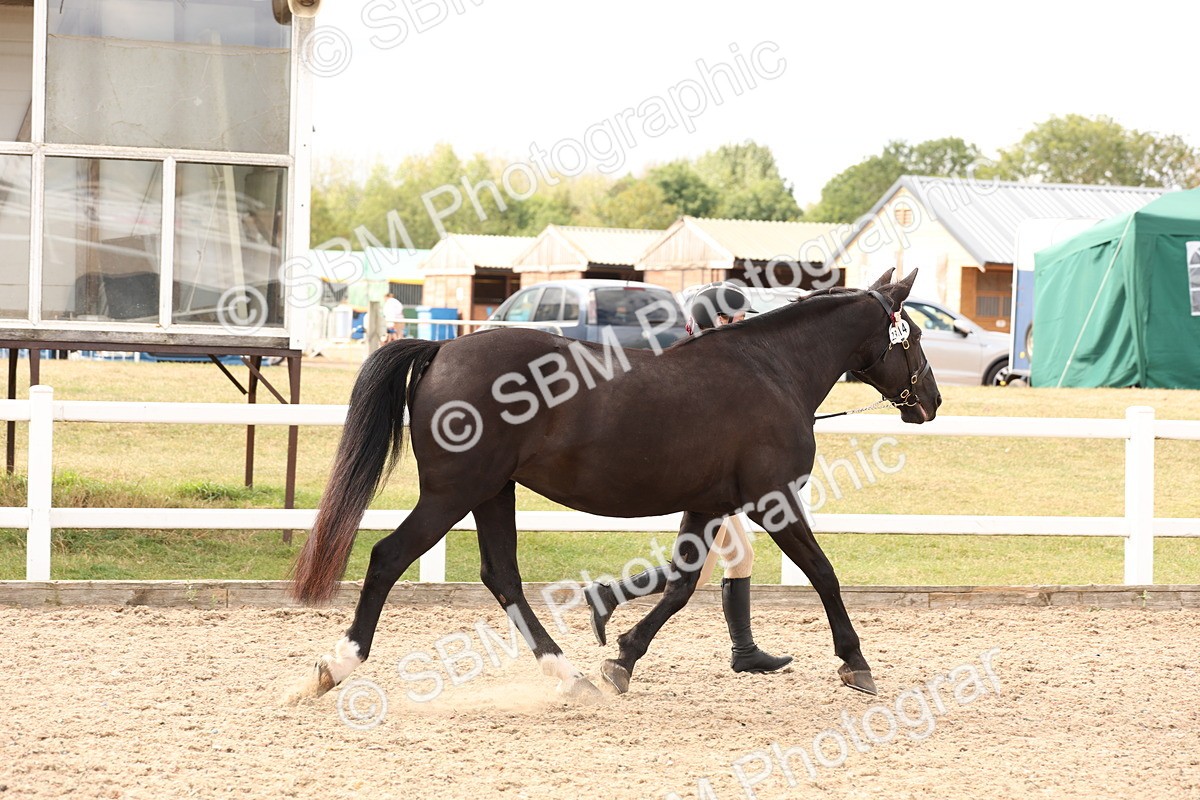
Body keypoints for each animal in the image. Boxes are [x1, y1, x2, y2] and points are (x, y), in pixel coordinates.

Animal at [286, 268, 940, 702]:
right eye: (914, 337)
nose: (931, 401)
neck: (773, 370)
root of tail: (443, 350)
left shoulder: (708, 506)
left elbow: (679, 585)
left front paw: (620, 652)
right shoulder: (771, 502)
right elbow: (823, 573)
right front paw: (856, 663)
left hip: (493, 493)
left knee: (503, 577)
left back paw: (569, 674)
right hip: (454, 494)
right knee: (387, 557)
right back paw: (335, 666)